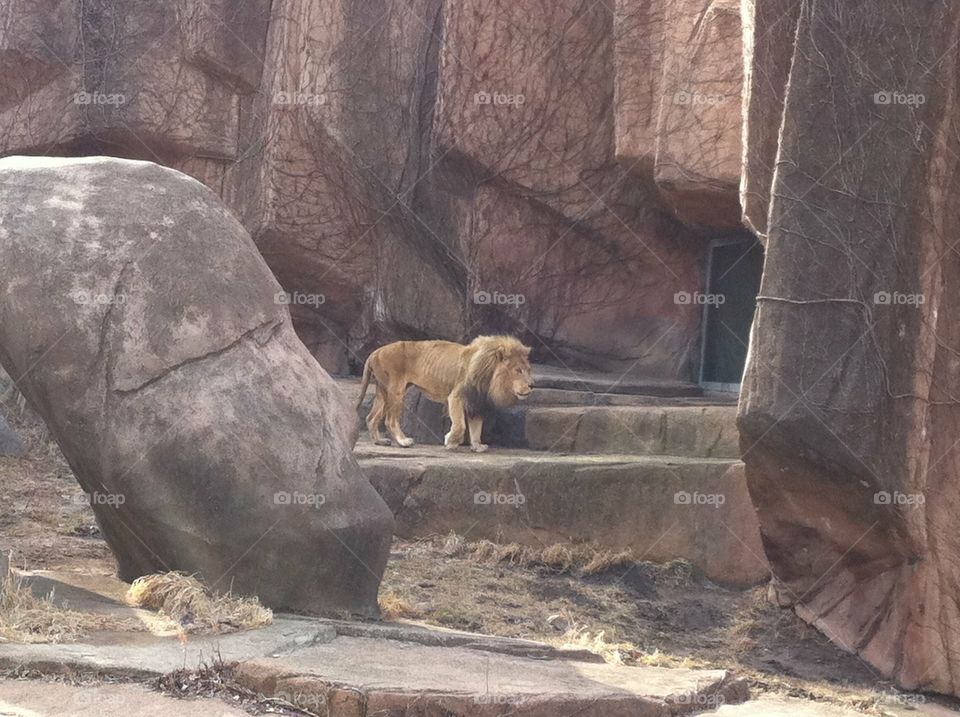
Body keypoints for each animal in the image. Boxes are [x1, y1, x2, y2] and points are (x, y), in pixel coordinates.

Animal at [356, 335, 534, 452]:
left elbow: (476, 428)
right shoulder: (456, 397)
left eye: (528, 370)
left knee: (371, 418)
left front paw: (477, 446)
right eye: (518, 370)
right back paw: (403, 441)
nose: (532, 385)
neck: (489, 377)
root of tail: (375, 352)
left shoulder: (476, 401)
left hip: (383, 390)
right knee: (390, 420)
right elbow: (460, 425)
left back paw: (380, 441)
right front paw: (450, 441)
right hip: (395, 390)